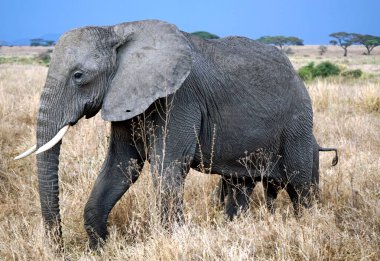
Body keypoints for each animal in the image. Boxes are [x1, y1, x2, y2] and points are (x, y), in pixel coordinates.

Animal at [15, 19, 326, 248]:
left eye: (79, 76)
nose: (59, 247)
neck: (118, 30)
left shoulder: (180, 99)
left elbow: (168, 164)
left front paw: (173, 238)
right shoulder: (126, 97)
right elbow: (122, 165)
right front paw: (98, 249)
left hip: (297, 124)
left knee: (300, 186)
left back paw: (308, 225)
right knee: (240, 184)